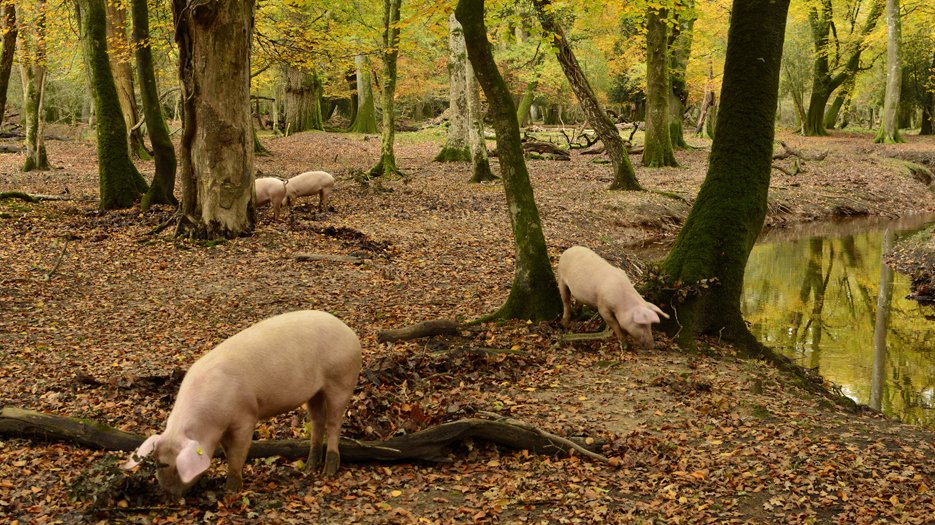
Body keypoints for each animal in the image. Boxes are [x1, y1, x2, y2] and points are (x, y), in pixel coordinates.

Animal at [121, 310, 362, 498]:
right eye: (158, 463)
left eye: (176, 468)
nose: (167, 495)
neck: (209, 424)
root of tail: (350, 332)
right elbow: (228, 451)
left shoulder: (245, 417)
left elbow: (238, 453)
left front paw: (231, 490)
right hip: (315, 392)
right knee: (318, 421)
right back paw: (310, 467)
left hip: (341, 379)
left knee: (334, 422)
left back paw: (328, 471)